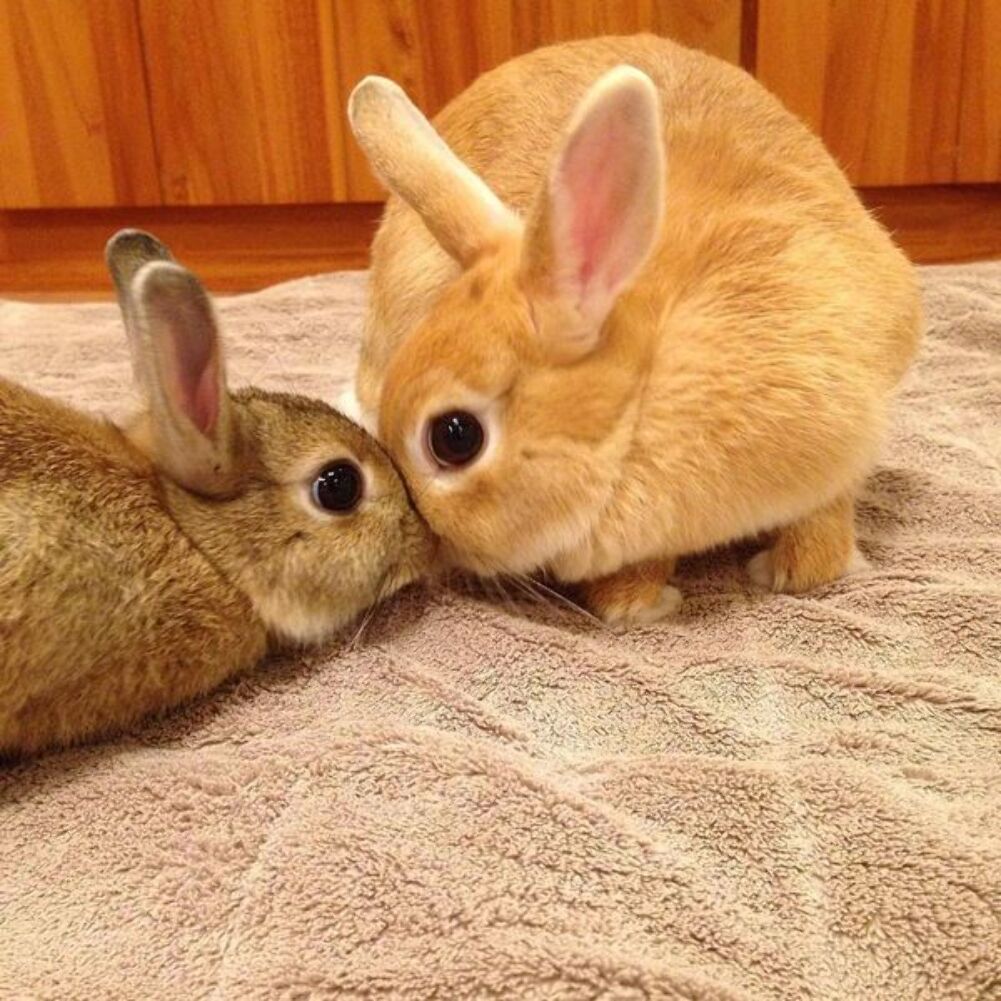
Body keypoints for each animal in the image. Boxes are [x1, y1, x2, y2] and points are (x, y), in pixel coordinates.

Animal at [344, 34, 921, 625]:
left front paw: (786, 569)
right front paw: (637, 601)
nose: (428, 545)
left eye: (454, 437)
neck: (643, 401)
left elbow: (826, 521)